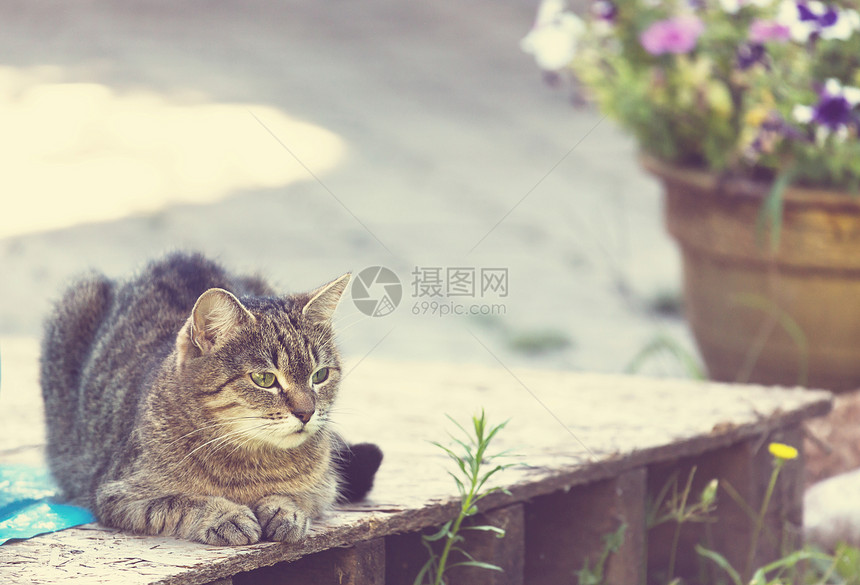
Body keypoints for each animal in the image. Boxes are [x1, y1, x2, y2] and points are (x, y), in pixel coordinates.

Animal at [39, 253, 382, 544]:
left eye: (319, 375)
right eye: (265, 379)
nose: (307, 412)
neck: (254, 462)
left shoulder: (325, 485)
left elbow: (302, 497)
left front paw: (285, 509)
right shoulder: (118, 493)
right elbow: (180, 503)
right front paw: (225, 515)